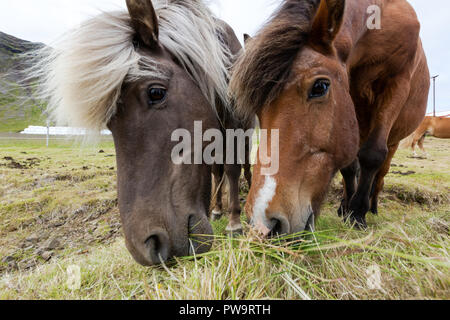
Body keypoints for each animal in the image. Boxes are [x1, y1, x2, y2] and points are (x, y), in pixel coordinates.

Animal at [31, 0, 250, 264]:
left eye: (156, 92)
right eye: (109, 123)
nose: (148, 246)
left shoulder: (235, 127)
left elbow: (233, 169)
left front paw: (235, 223)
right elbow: (219, 172)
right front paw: (222, 213)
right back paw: (217, 209)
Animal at [230, 0, 430, 235]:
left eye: (320, 87)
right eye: (258, 109)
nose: (264, 223)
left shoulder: (397, 82)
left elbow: (372, 155)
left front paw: (358, 213)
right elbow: (350, 166)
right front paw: (348, 208)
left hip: (394, 139)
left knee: (381, 170)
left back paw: (372, 205)